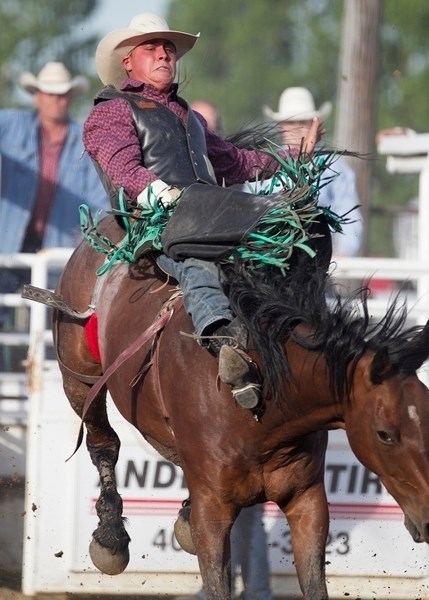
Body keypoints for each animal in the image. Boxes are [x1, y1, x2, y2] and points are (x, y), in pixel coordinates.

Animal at [50, 213, 429, 596]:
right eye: (385, 434)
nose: (428, 521)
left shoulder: (308, 501)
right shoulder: (213, 514)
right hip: (79, 377)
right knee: (103, 441)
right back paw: (110, 537)